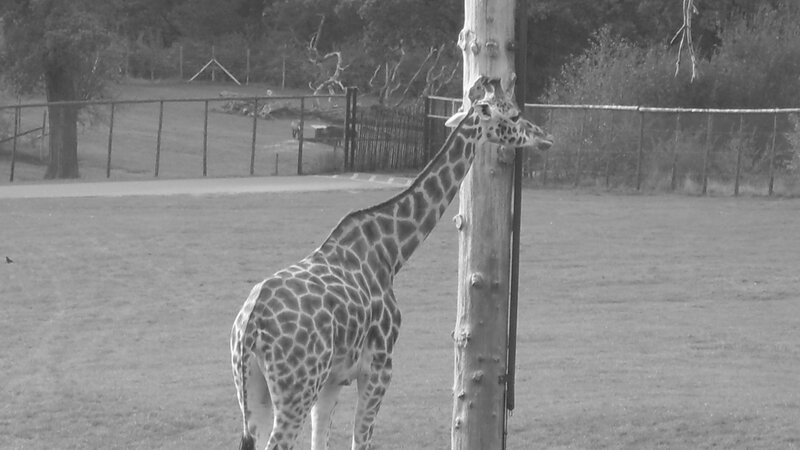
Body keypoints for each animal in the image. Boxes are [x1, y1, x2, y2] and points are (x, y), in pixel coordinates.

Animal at [230, 76, 553, 450]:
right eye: (513, 115)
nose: (545, 136)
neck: (390, 251)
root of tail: (250, 327)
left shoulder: (332, 379)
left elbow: (322, 439)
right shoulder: (380, 364)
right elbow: (361, 439)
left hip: (252, 390)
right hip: (296, 386)